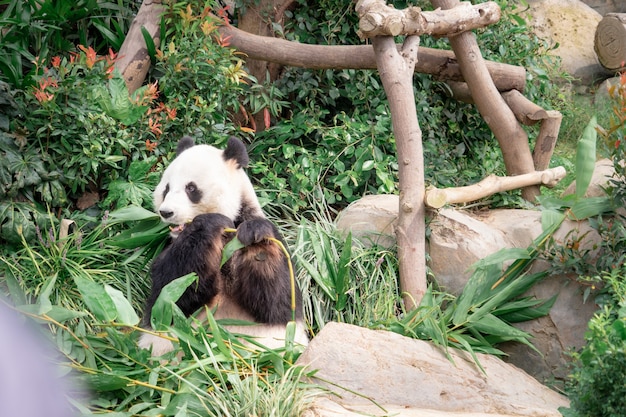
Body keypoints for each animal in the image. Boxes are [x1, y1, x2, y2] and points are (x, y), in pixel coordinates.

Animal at [139, 134, 310, 354]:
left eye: (191, 188)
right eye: (166, 189)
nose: (166, 212)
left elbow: (279, 303)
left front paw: (255, 237)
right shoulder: (171, 248)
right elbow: (168, 295)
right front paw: (210, 223)